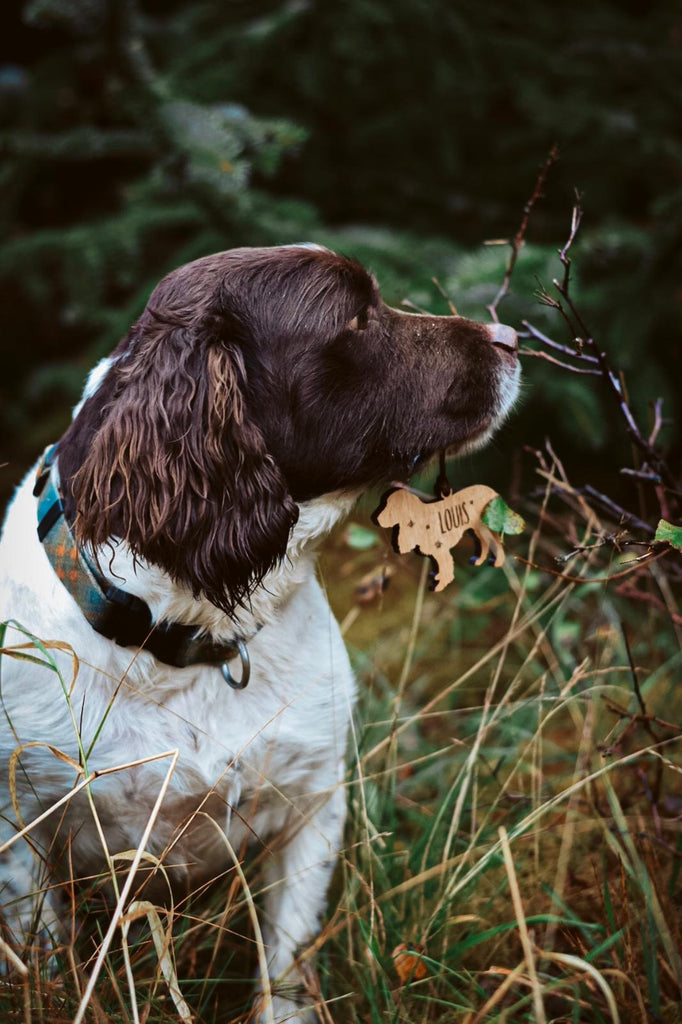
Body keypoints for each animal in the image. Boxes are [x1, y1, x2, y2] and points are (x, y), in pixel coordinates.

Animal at [0, 241, 516, 1015]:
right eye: (355, 318)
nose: (511, 337)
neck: (188, 642)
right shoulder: (19, 833)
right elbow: (49, 969)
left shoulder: (313, 806)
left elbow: (287, 969)